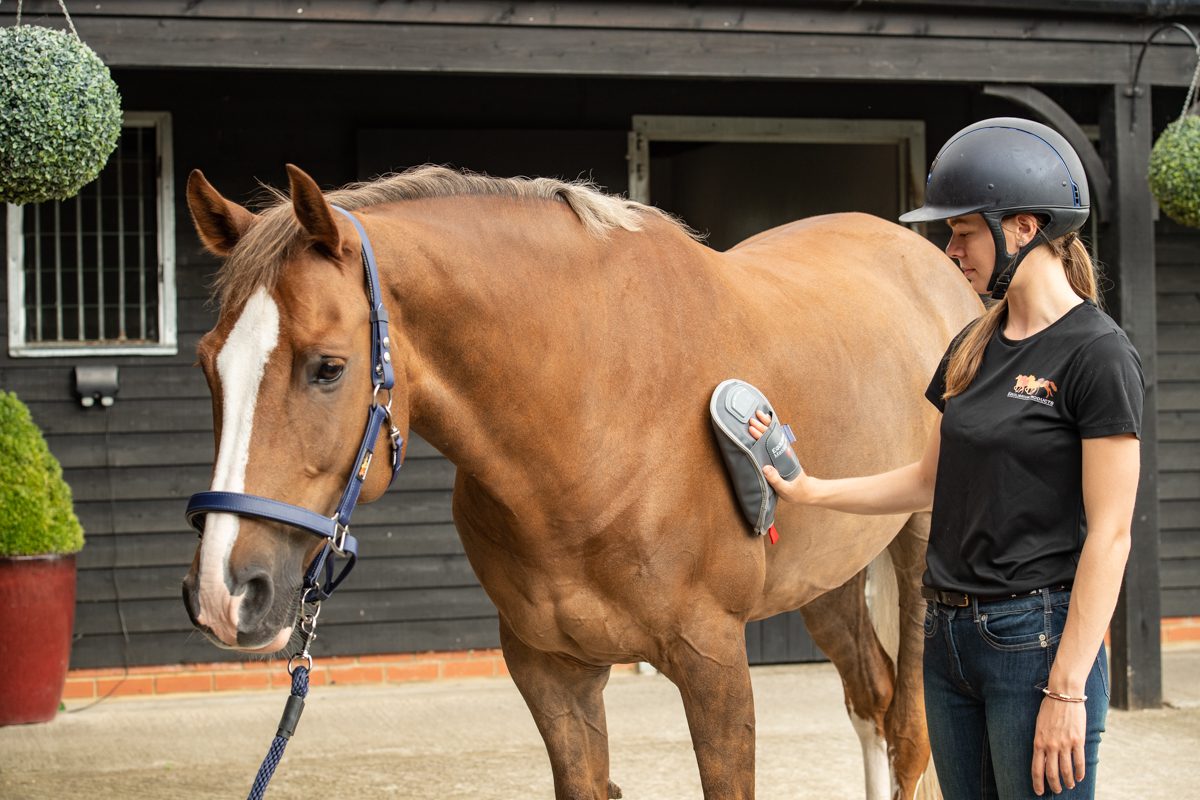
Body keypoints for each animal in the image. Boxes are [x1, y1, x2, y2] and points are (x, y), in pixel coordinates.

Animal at [182, 164, 979, 800]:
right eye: (207, 363)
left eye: (328, 367)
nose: (224, 593)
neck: (595, 416)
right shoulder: (550, 673)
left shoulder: (713, 663)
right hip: (827, 578)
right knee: (870, 699)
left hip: (917, 559)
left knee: (908, 732)